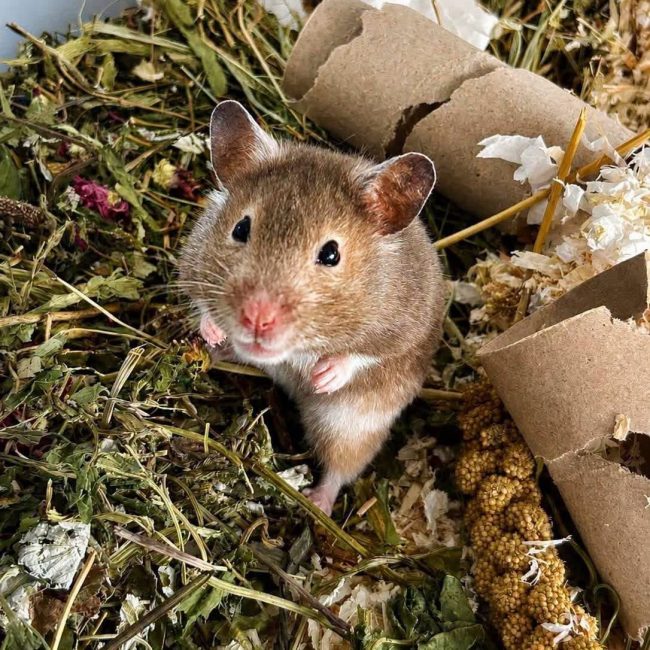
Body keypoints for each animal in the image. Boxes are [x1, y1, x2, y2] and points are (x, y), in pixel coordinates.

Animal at [179, 101, 445, 515]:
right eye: (240, 228)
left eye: (331, 253)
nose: (257, 320)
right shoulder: (190, 265)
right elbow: (199, 299)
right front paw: (212, 331)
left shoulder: (403, 329)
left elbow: (363, 353)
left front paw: (322, 376)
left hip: (350, 426)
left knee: (340, 468)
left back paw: (315, 504)